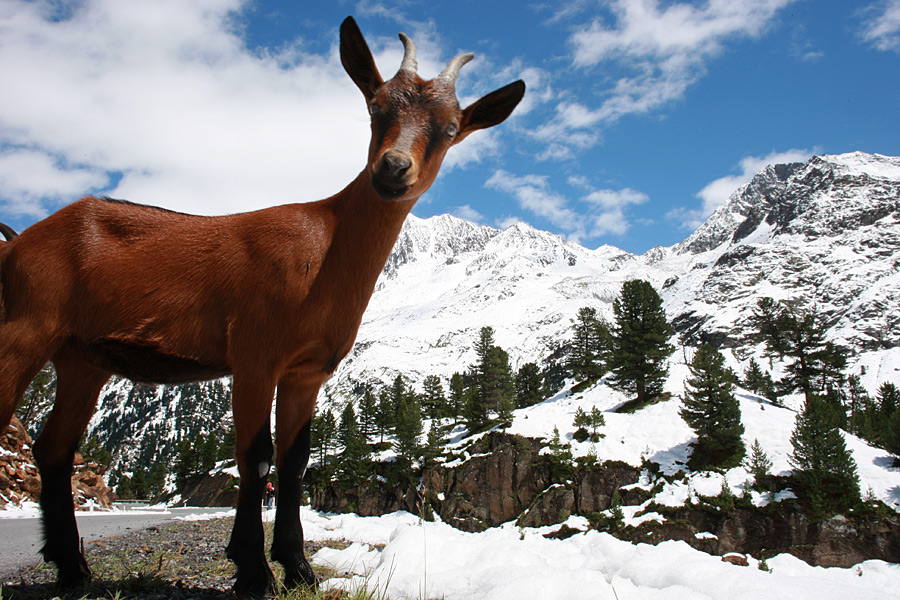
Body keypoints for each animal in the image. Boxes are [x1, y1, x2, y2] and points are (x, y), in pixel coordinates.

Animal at [0, 16, 528, 596]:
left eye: (451, 128)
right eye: (375, 108)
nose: (393, 169)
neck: (323, 249)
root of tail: (17, 244)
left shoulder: (307, 371)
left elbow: (294, 463)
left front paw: (297, 567)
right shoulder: (254, 354)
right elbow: (254, 458)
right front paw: (254, 569)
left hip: (82, 358)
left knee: (53, 448)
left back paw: (74, 570)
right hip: (23, 327)